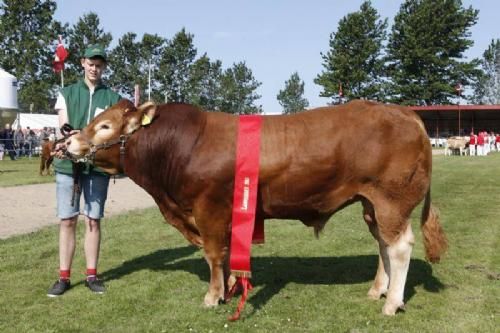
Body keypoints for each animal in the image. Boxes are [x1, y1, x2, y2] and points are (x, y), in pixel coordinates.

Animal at [63, 98, 450, 314]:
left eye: (105, 125)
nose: (69, 142)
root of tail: (404, 112)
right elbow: (227, 252)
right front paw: (232, 286)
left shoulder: (207, 206)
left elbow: (213, 253)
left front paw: (213, 296)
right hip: (371, 204)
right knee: (383, 244)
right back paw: (377, 290)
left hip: (391, 200)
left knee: (400, 247)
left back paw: (391, 303)